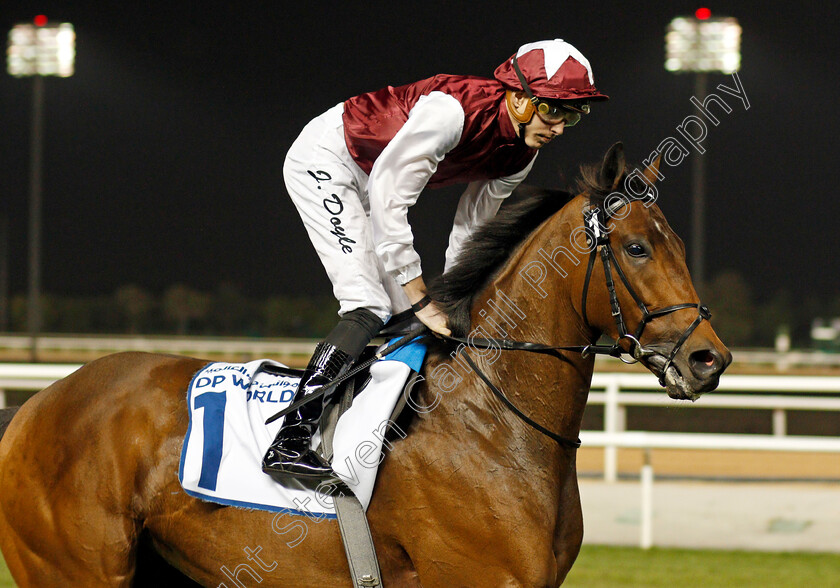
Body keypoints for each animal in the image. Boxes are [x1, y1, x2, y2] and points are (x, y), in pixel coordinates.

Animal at [0, 144, 728, 588]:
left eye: (675, 242)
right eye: (636, 248)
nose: (709, 358)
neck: (492, 426)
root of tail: (34, 405)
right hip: (73, 568)